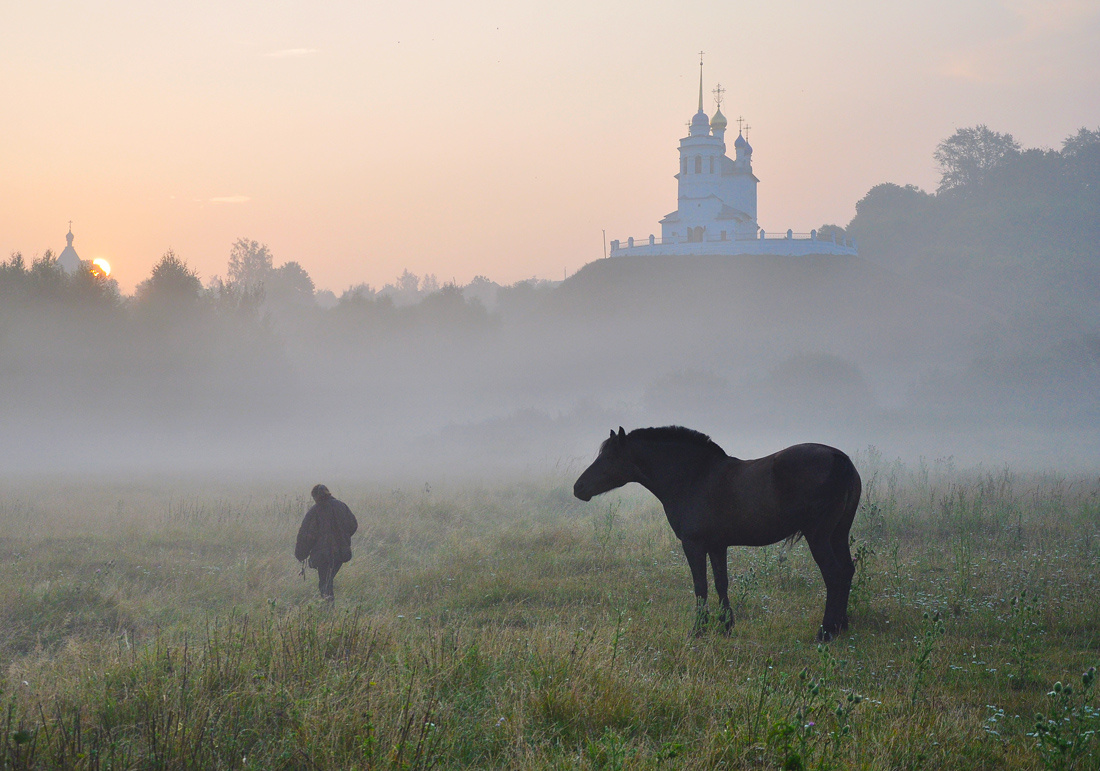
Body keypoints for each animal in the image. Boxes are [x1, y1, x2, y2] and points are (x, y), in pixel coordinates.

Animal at [573, 426, 862, 642]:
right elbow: (721, 583)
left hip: (819, 537)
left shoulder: (693, 545)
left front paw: (698, 629)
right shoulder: (717, 545)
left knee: (834, 575)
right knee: (847, 571)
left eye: (608, 458)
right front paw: (726, 626)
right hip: (838, 535)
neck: (694, 477)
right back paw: (842, 625)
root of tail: (840, 459)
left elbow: (700, 585)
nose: (579, 487)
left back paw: (826, 631)